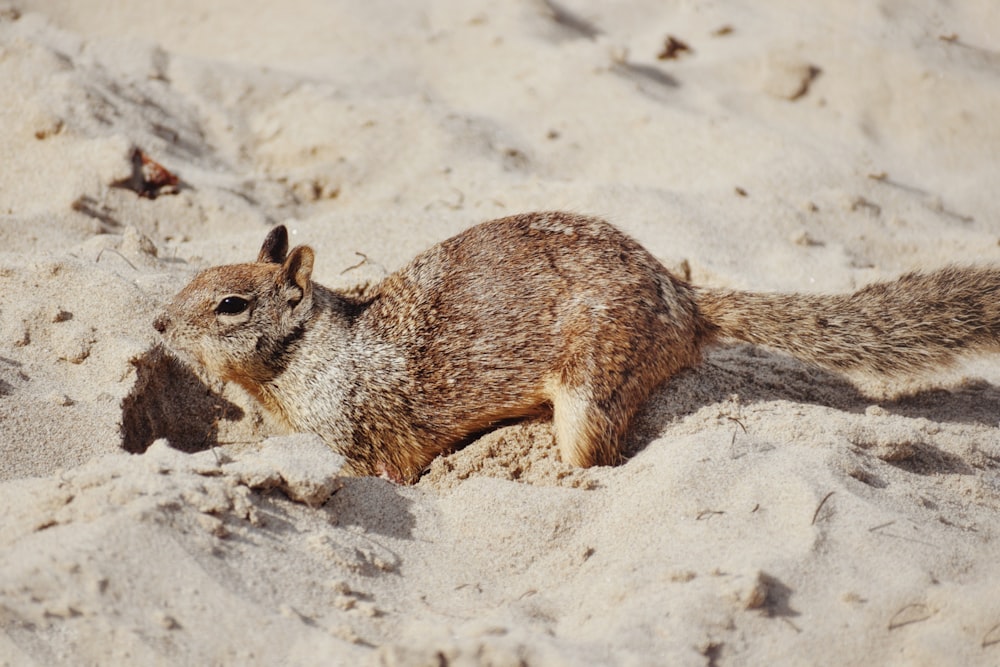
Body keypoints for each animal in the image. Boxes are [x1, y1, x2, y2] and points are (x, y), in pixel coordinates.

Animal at [152, 211, 1000, 482]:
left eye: (230, 304)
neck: (320, 351)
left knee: (597, 457)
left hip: (593, 384)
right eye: (193, 276)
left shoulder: (361, 438)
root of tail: (684, 299)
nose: (158, 325)